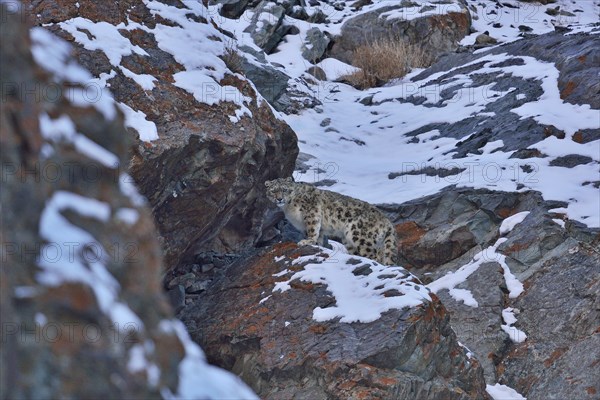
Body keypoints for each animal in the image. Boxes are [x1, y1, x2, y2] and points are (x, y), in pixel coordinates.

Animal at [264, 178, 396, 266]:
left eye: (284, 189)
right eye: (273, 191)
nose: (279, 199)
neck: (288, 208)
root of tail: (386, 220)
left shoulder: (312, 212)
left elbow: (312, 229)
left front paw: (307, 241)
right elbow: (319, 236)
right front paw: (317, 245)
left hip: (359, 235)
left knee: (374, 256)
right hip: (349, 240)